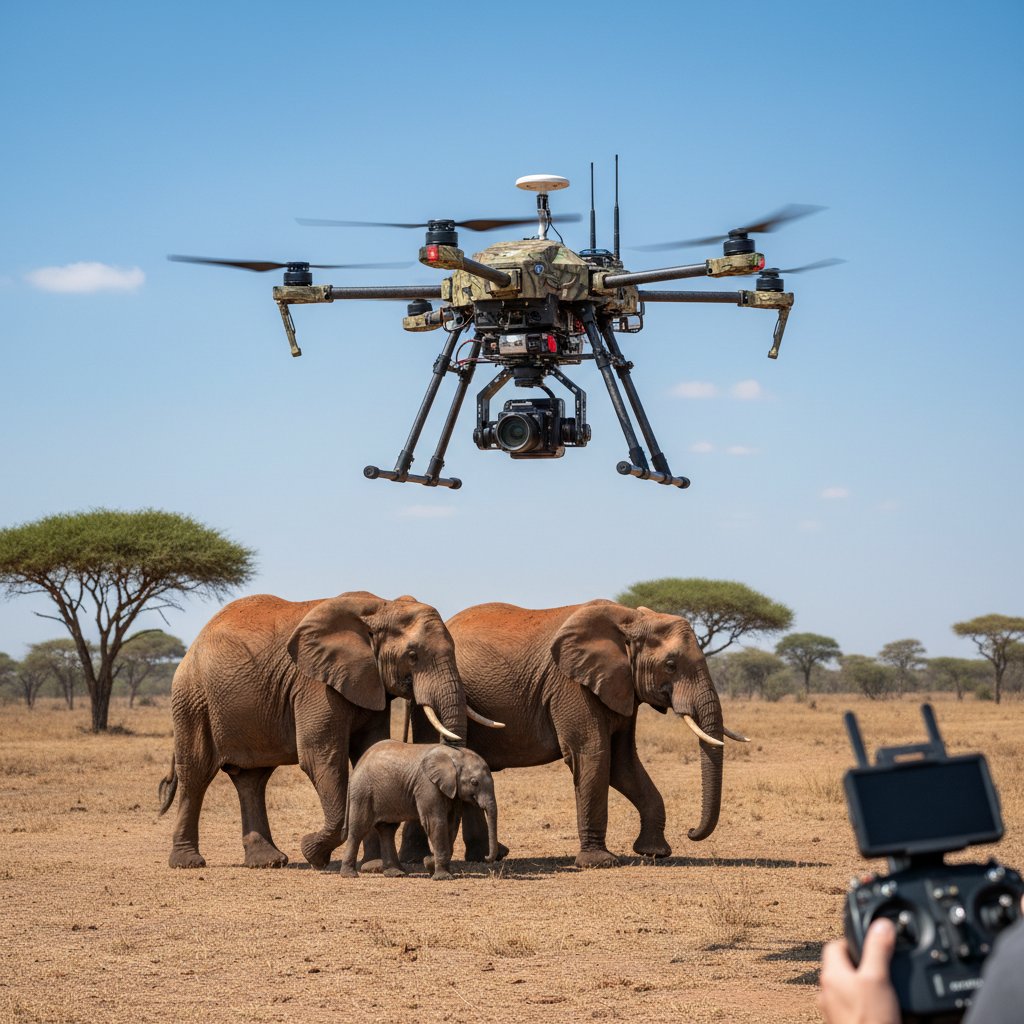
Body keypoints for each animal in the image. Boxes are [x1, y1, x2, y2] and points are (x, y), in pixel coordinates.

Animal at [339, 740, 498, 881]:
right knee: (359, 829)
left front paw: (431, 864)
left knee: (387, 830)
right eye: (474, 782)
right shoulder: (427, 785)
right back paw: (350, 875)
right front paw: (443, 877)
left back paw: (397, 873)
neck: (455, 755)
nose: (486, 857)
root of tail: (357, 766)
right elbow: (435, 822)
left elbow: (452, 823)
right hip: (363, 792)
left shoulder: (453, 790)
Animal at [400, 599, 748, 869]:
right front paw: (600, 862)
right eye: (671, 664)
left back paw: (491, 856)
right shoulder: (570, 685)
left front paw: (654, 852)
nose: (691, 831)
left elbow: (623, 763)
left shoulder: (621, 687)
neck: (630, 619)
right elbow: (592, 754)